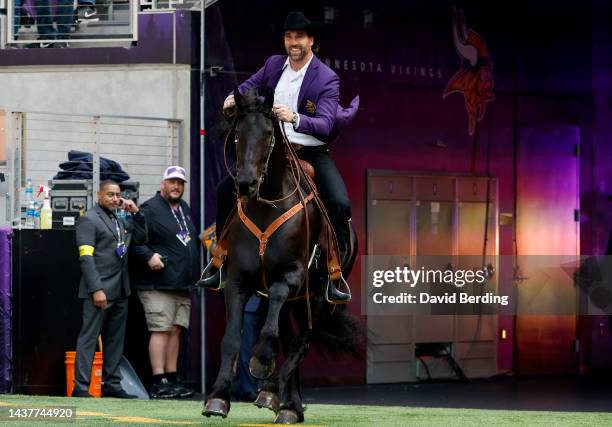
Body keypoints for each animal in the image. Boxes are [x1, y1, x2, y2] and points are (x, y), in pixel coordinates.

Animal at [203, 90, 360, 424]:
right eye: (237, 134)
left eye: (267, 134)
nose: (245, 183)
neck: (267, 205)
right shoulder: (238, 280)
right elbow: (232, 338)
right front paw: (217, 398)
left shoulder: (292, 275)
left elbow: (275, 307)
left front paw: (261, 361)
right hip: (295, 304)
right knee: (287, 339)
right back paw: (278, 396)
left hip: (319, 300)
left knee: (300, 343)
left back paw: (287, 402)